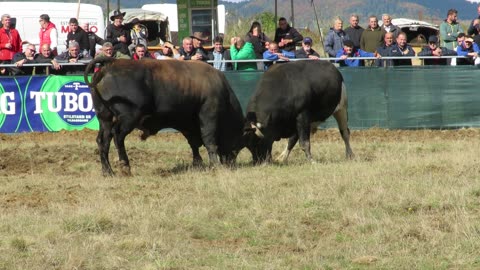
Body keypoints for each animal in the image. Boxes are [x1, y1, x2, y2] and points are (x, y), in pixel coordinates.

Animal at [83, 57, 246, 175]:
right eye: (238, 139)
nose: (231, 162)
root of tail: (111, 63)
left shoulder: (186, 122)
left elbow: (193, 143)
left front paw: (198, 163)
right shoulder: (208, 115)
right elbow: (209, 140)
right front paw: (214, 165)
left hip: (105, 118)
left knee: (103, 141)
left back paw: (108, 171)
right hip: (128, 118)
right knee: (118, 137)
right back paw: (125, 166)